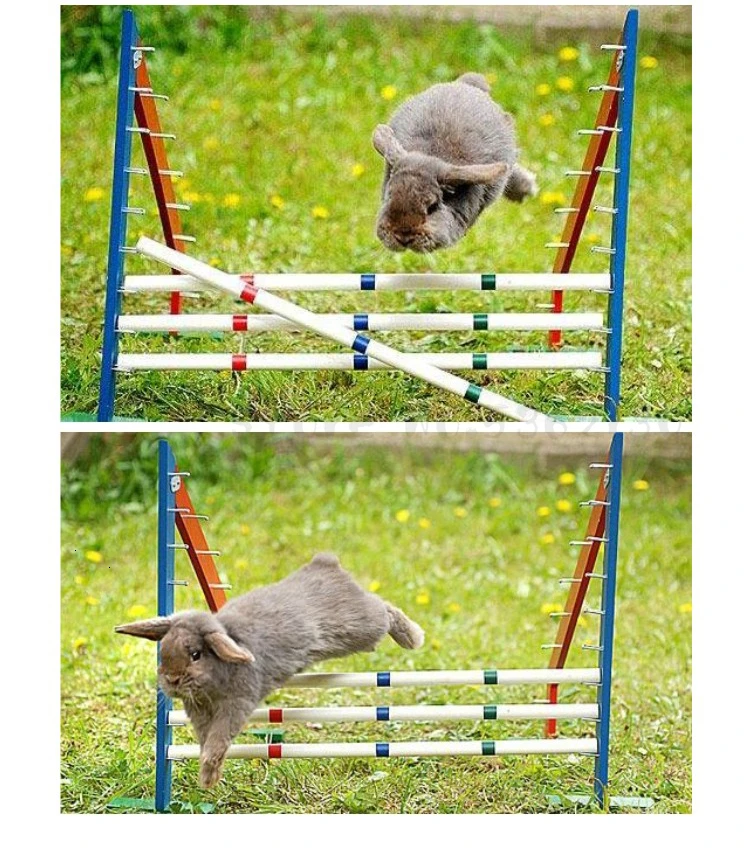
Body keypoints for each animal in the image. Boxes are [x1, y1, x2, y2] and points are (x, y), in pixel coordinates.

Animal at [115, 553, 424, 789]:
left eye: (195, 655)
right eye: (163, 650)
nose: (172, 680)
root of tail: (327, 563)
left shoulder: (236, 705)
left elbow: (217, 741)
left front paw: (207, 779)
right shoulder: (200, 713)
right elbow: (206, 741)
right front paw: (209, 776)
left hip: (364, 625)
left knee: (385, 609)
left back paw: (413, 637)